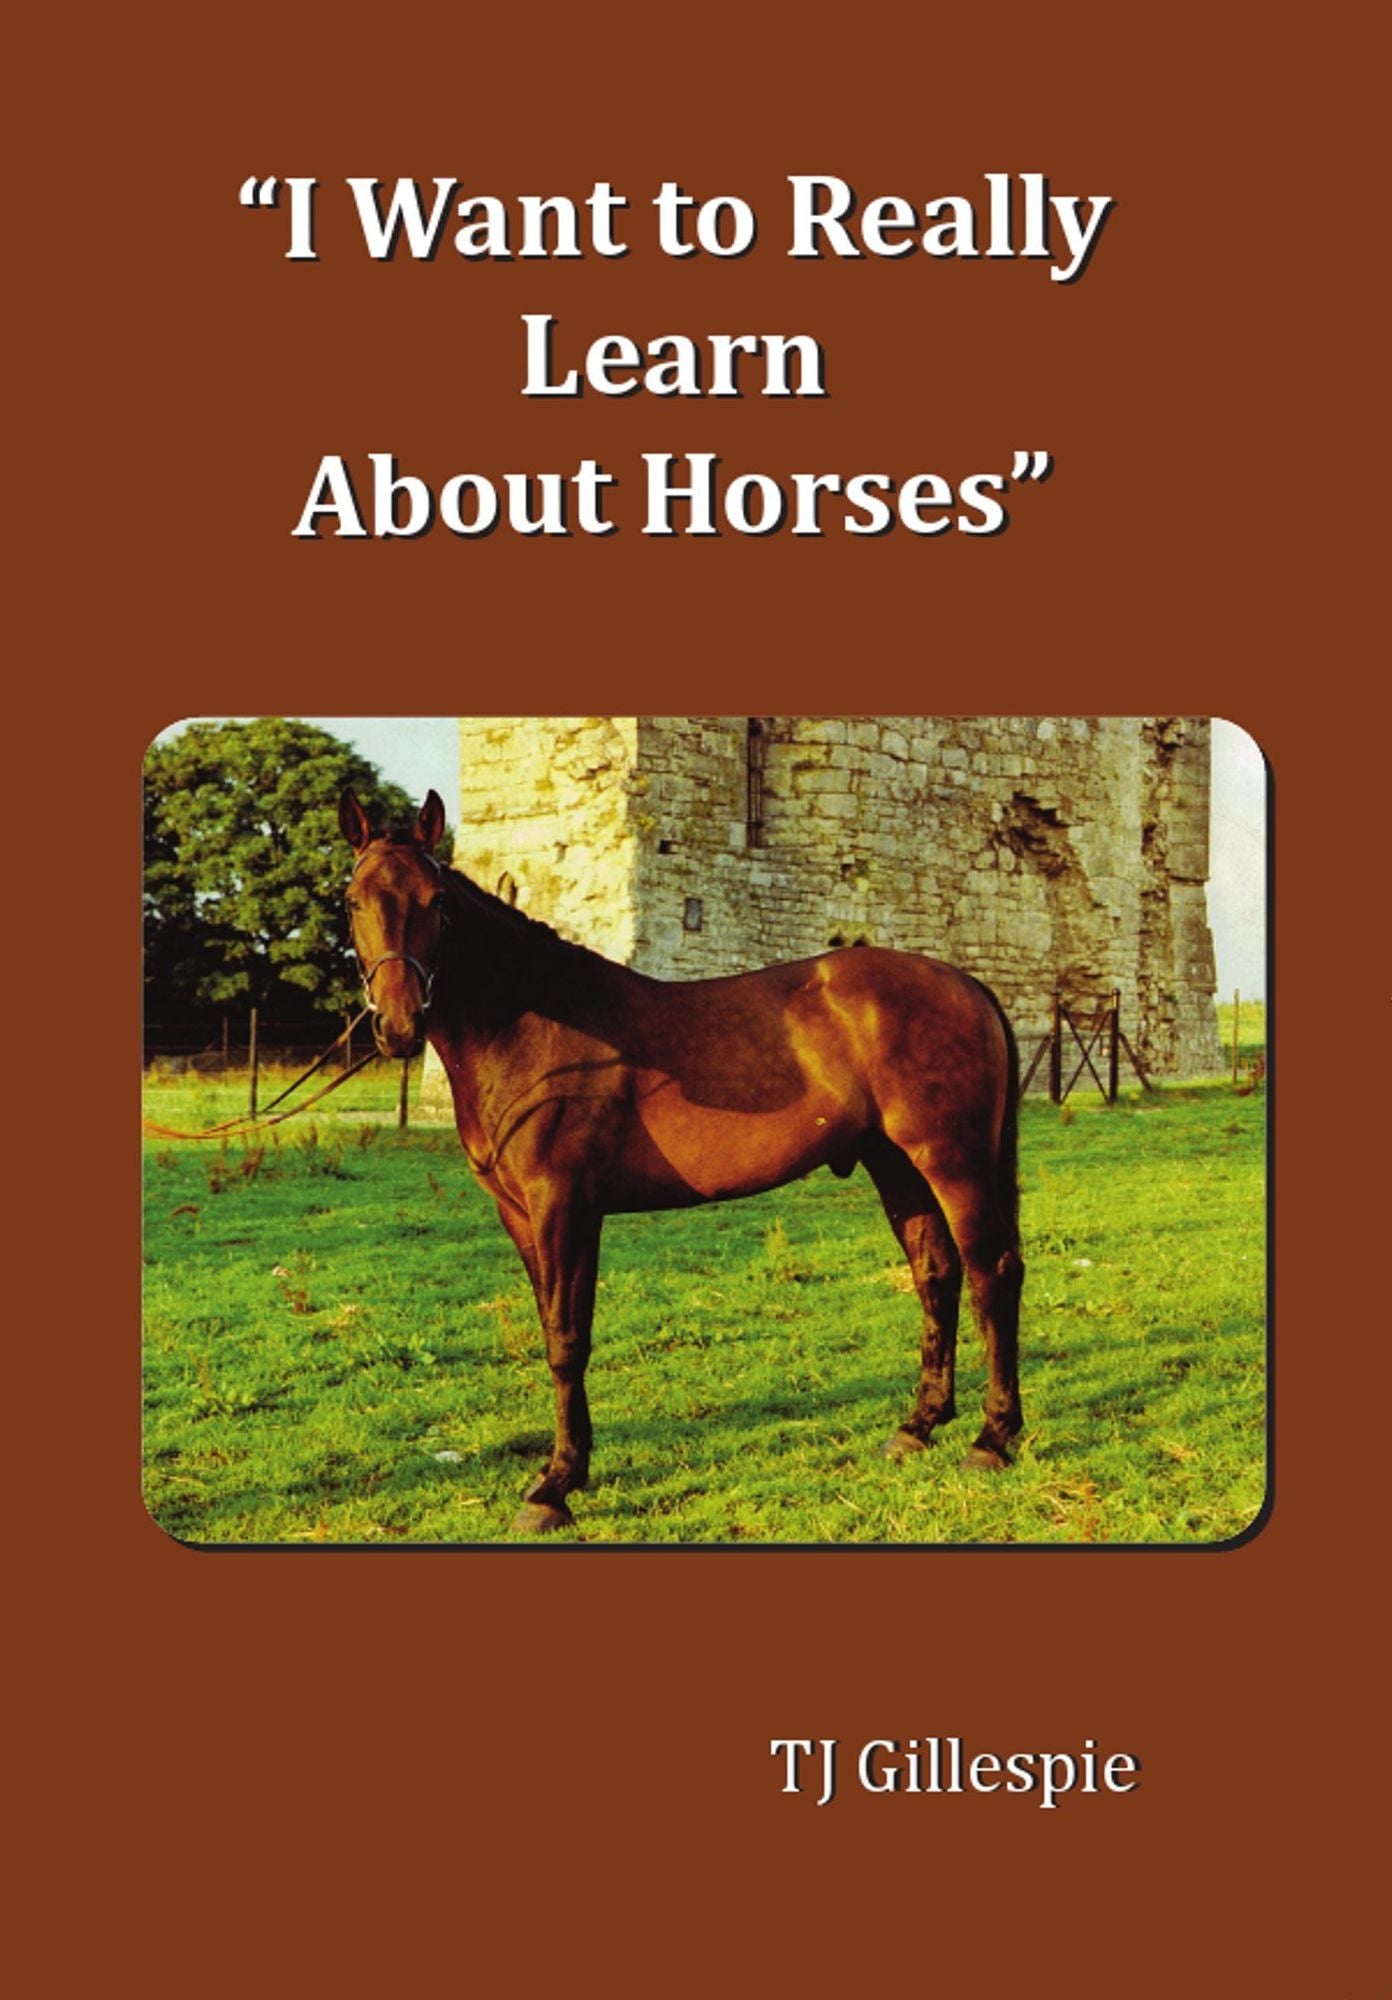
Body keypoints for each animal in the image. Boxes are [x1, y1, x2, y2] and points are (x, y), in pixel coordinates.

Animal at [339, 788, 1025, 1534]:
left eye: (437, 900)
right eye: (352, 899)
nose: (398, 1025)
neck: (534, 1026)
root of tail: (967, 985)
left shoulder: (563, 1206)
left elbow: (567, 1338)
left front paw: (555, 1486)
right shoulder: (520, 1213)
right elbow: (556, 1329)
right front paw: (567, 1470)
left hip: (953, 1161)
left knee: (992, 1274)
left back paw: (993, 1439)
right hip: (896, 1166)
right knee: (937, 1275)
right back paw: (918, 1427)